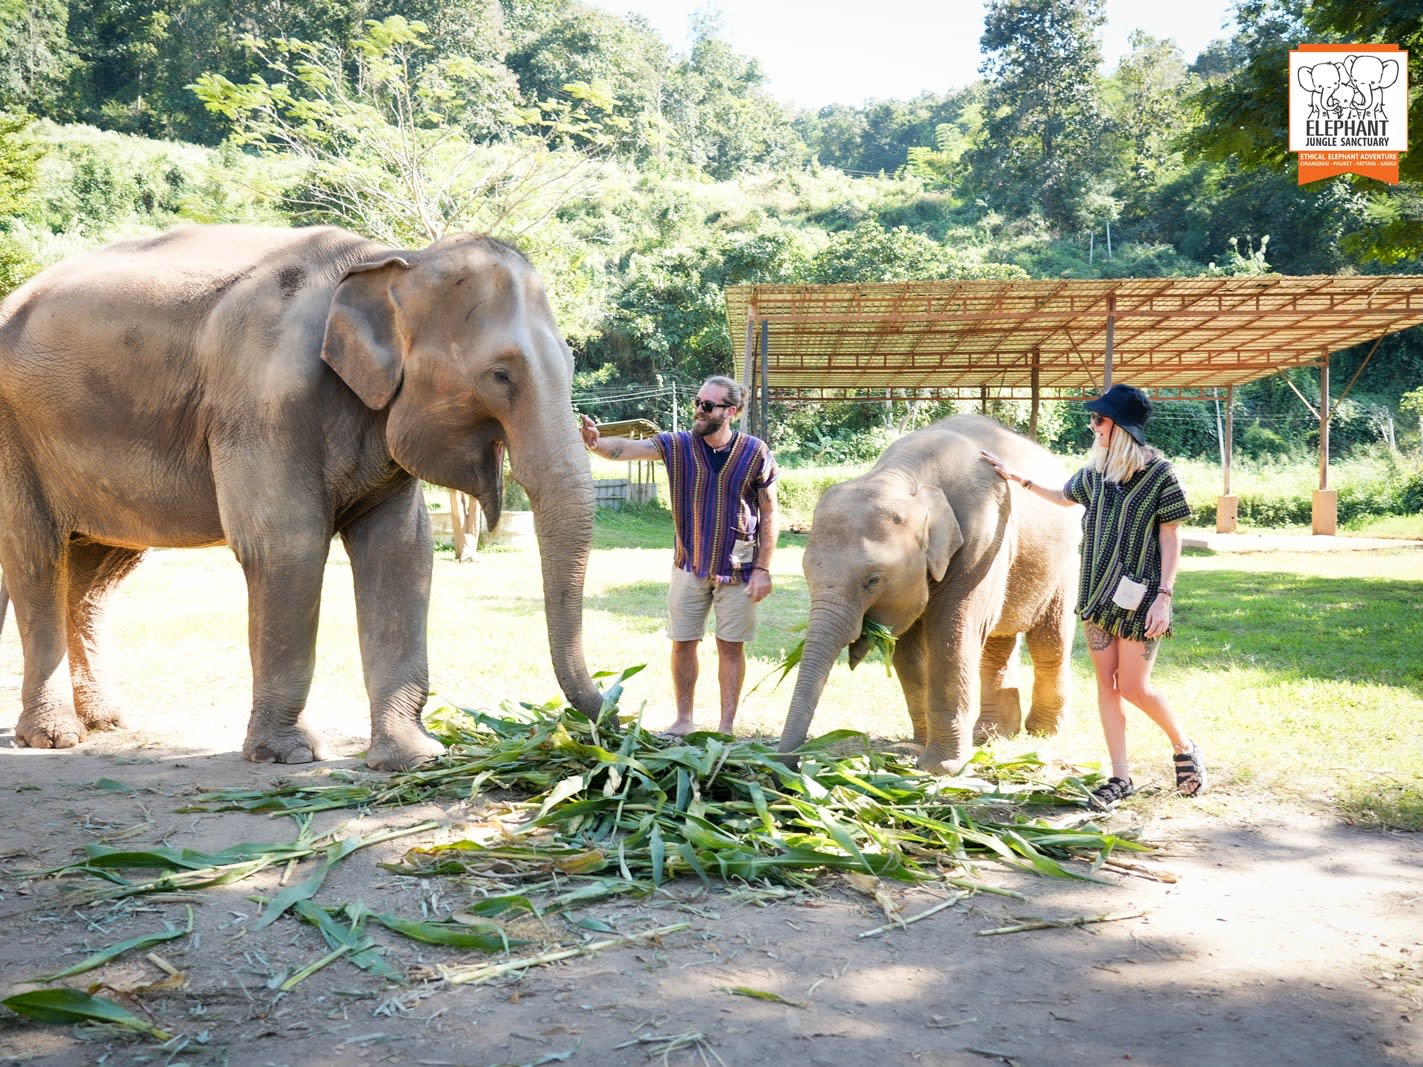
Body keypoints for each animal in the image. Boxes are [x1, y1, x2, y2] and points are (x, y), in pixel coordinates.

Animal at [0, 223, 600, 768]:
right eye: (500, 375)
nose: (602, 722)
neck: (391, 258)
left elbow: (401, 550)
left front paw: (414, 758)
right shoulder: (264, 401)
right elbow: (288, 545)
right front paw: (288, 755)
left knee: (95, 574)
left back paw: (108, 722)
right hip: (15, 439)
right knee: (35, 557)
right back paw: (55, 738)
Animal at [779, 418, 1075, 779]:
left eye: (873, 581)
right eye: (806, 572)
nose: (789, 766)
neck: (906, 476)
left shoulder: (982, 541)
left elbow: (952, 636)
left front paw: (941, 769)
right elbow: (908, 652)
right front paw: (917, 749)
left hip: (1067, 563)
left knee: (1050, 641)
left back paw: (1042, 733)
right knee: (998, 644)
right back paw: (990, 736)